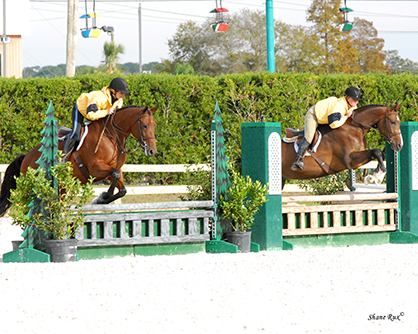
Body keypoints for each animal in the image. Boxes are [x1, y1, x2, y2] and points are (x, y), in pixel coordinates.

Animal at [0, 105, 158, 218]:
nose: (152, 151)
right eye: (144, 125)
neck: (112, 136)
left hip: (61, 188)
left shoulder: (114, 169)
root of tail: (27, 156)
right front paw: (103, 196)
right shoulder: (96, 169)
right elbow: (115, 176)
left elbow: (122, 189)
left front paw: (99, 199)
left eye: (155, 125)